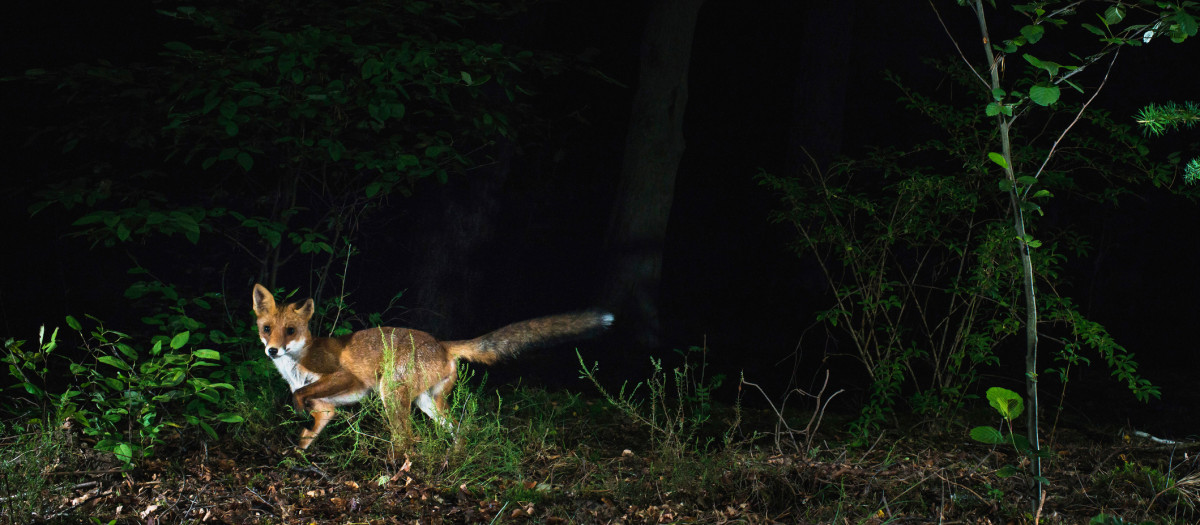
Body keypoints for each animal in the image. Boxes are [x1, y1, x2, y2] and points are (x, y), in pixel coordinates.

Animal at [251, 283, 613, 450]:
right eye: (267, 328)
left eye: (291, 331)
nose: (272, 350)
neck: (296, 366)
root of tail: (442, 343)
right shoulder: (327, 410)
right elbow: (307, 434)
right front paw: (295, 457)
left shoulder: (345, 376)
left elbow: (300, 396)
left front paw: (296, 410)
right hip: (428, 402)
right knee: (459, 430)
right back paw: (453, 463)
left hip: (391, 394)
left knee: (409, 438)